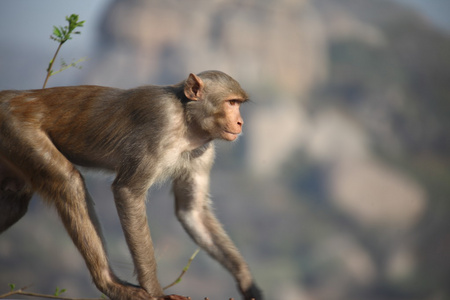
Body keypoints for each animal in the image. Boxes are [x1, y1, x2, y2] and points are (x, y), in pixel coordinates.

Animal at [0, 72, 264, 300]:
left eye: (239, 103)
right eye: (231, 102)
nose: (240, 122)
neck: (186, 121)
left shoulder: (204, 150)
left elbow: (192, 211)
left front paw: (246, 281)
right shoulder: (161, 121)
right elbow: (127, 192)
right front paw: (156, 292)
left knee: (16, 200)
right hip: (17, 128)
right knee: (68, 182)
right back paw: (110, 284)